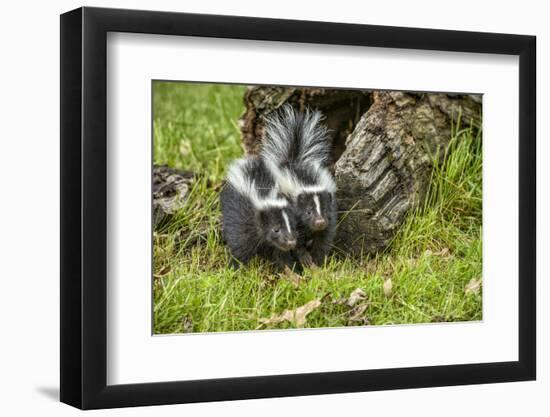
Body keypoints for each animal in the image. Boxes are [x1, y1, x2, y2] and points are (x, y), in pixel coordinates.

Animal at [260, 105, 338, 264]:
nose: (320, 222)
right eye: (308, 211)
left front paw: (318, 260)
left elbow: (324, 238)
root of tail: (293, 160)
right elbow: (296, 239)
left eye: (325, 209)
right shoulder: (292, 215)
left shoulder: (330, 215)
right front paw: (305, 258)